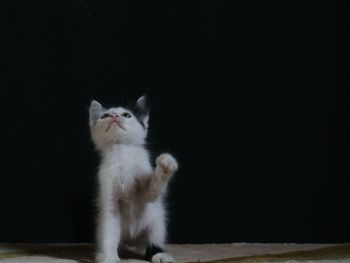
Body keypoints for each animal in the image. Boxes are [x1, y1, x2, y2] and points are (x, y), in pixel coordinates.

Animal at [89, 96, 178, 263]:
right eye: (105, 116)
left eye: (126, 115)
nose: (114, 116)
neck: (121, 152)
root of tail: (132, 241)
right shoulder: (108, 196)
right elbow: (109, 231)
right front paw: (109, 257)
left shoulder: (146, 194)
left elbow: (152, 190)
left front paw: (165, 166)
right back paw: (101, 254)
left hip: (157, 220)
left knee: (153, 240)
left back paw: (160, 254)